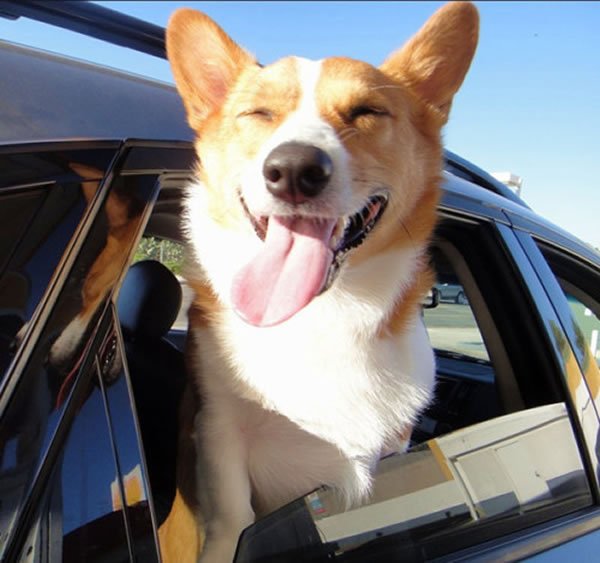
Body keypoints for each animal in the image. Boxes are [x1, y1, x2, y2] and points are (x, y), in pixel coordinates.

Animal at [163, 3, 478, 560]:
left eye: (366, 112)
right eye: (259, 114)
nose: (293, 169)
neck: (318, 316)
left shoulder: (393, 449)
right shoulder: (218, 428)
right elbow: (233, 520)